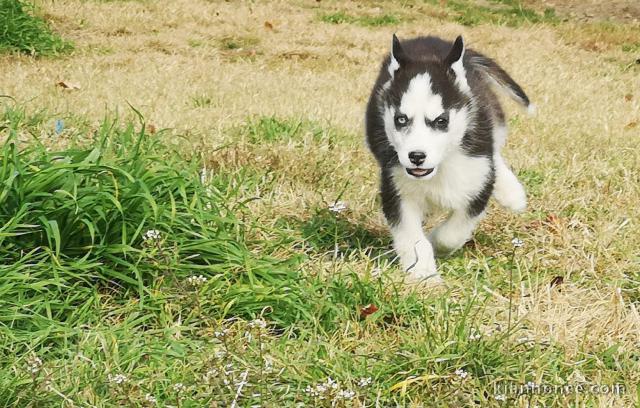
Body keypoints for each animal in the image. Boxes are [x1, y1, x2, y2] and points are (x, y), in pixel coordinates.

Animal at [368, 35, 532, 282]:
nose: (416, 156)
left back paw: (511, 193)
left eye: (441, 120)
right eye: (401, 119)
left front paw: (434, 244)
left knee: (495, 152)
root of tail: (431, 39)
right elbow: (413, 239)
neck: (442, 165)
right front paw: (424, 274)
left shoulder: (479, 179)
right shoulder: (396, 187)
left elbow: (452, 234)